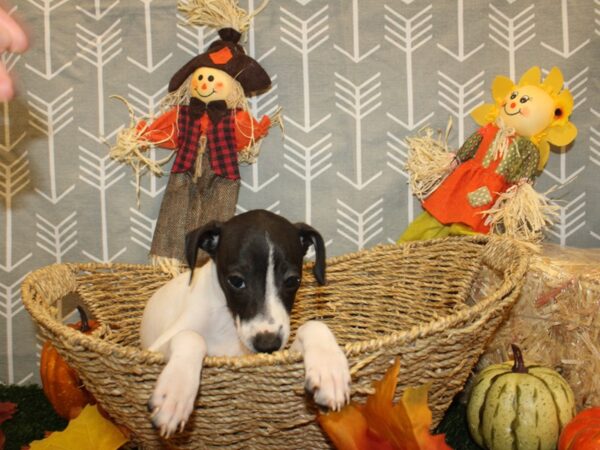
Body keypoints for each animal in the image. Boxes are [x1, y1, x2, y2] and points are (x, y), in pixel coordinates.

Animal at [141, 210, 352, 436]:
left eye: (292, 281)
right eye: (236, 281)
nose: (267, 344)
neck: (228, 325)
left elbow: (314, 325)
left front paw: (330, 370)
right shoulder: (154, 349)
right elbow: (191, 336)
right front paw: (175, 393)